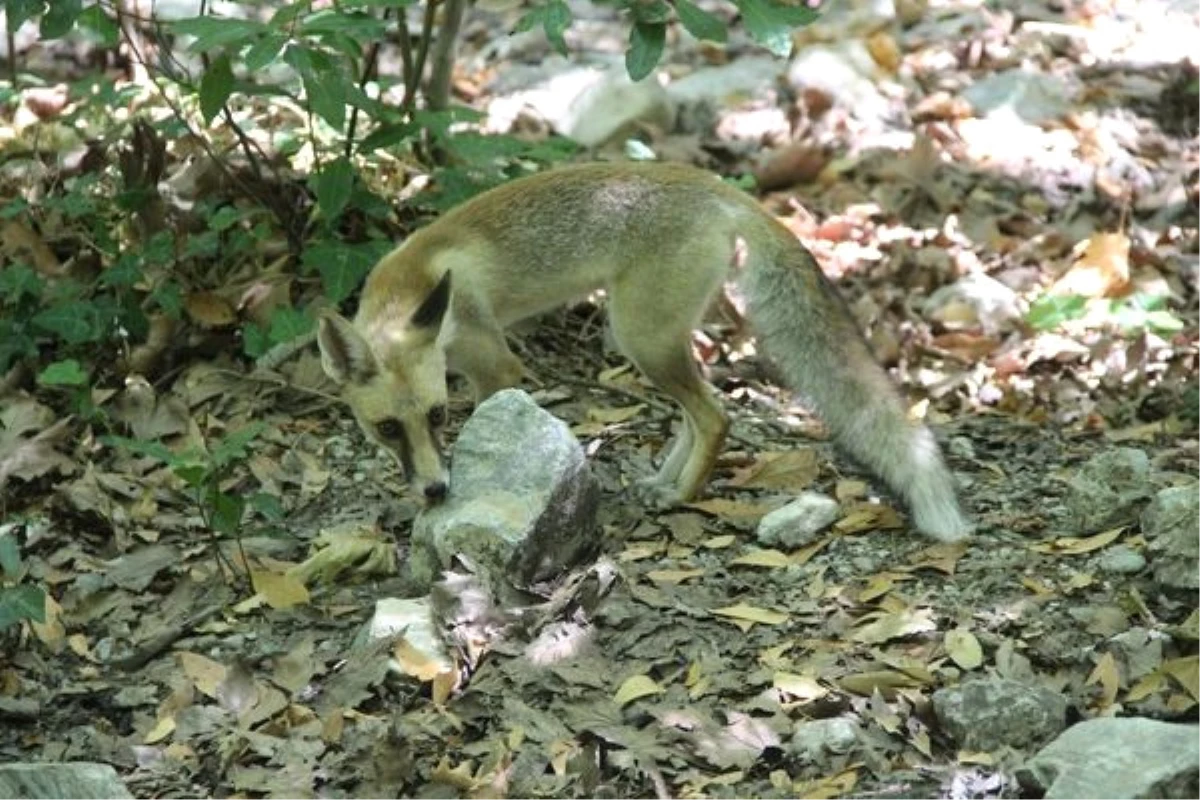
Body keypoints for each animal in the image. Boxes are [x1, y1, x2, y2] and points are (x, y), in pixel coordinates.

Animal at [321, 160, 974, 544]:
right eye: (386, 428)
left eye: (437, 416)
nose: (434, 491)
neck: (411, 283)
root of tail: (716, 187)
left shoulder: (498, 364)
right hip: (657, 337)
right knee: (699, 412)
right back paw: (666, 480)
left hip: (638, 335)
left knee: (716, 415)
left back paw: (682, 495)